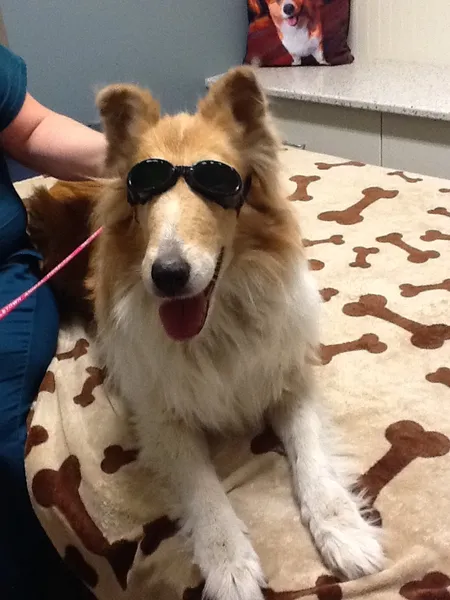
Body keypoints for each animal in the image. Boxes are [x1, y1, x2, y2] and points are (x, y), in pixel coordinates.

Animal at [26, 65, 384, 600]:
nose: (168, 275)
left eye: (219, 182)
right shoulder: (161, 417)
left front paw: (345, 533)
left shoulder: (288, 380)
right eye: (141, 188)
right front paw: (229, 565)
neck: (216, 327)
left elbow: (312, 458)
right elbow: (204, 491)